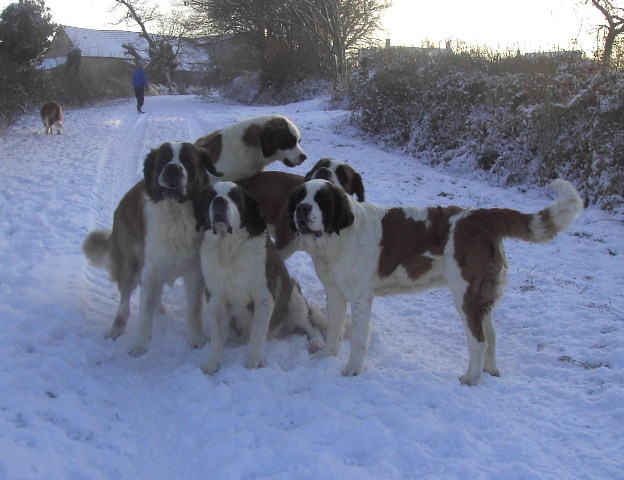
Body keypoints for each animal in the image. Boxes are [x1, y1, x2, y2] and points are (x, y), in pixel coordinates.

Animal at [81, 141, 221, 354]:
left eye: (187, 161)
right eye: (163, 159)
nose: (172, 169)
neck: (176, 212)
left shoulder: (194, 271)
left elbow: (194, 307)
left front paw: (197, 338)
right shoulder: (152, 268)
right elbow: (144, 308)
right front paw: (139, 344)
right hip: (131, 264)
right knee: (125, 301)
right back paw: (117, 328)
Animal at [193, 182, 324, 374]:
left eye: (233, 196)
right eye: (211, 195)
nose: (219, 201)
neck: (229, 248)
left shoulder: (264, 294)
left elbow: (257, 330)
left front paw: (254, 361)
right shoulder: (215, 298)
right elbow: (217, 335)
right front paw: (212, 363)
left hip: (294, 295)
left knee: (310, 324)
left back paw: (316, 342)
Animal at [288, 178, 584, 384]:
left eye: (322, 200)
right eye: (301, 196)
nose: (302, 209)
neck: (339, 236)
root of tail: (480, 216)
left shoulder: (361, 297)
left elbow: (359, 337)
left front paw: (352, 370)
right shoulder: (335, 291)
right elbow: (335, 327)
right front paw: (326, 355)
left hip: (465, 294)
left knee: (478, 340)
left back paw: (471, 378)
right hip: (478, 295)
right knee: (491, 335)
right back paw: (489, 370)